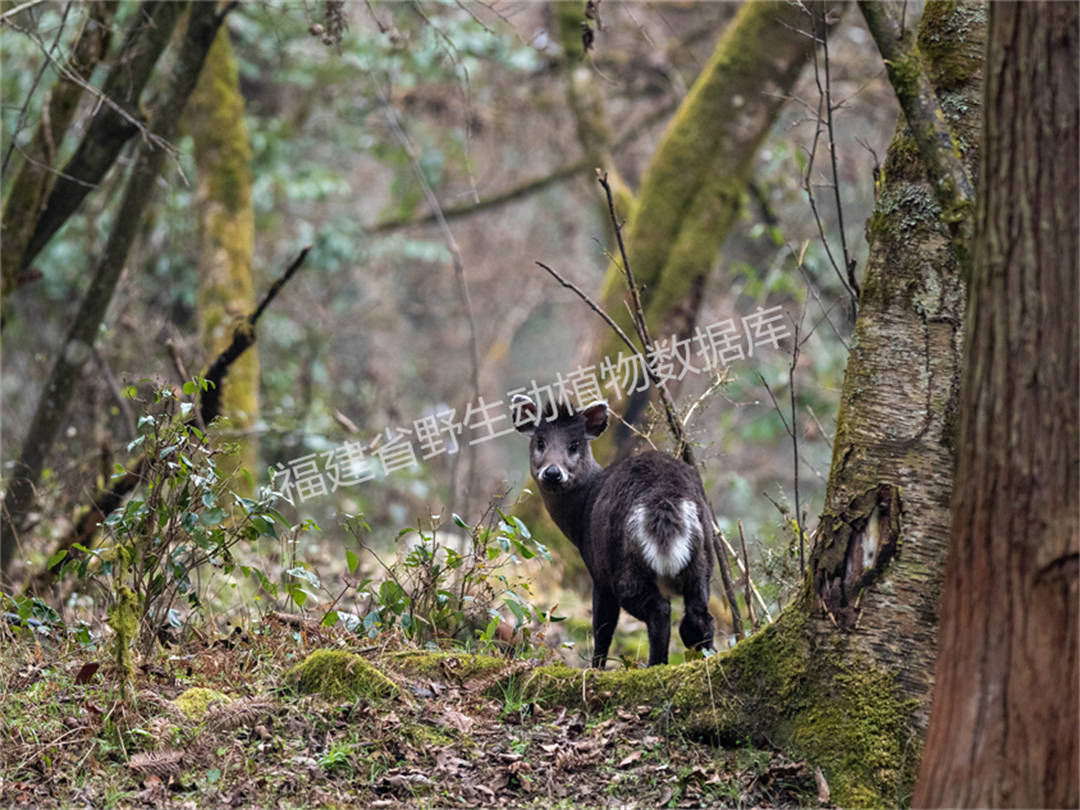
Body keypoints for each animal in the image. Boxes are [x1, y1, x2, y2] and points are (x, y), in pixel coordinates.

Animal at [509, 397, 712, 669]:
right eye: (540, 441)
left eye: (574, 444)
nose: (552, 472)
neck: (583, 511)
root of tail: (667, 500)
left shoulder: (598, 573)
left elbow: (602, 629)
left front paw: (595, 668)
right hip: (703, 562)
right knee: (698, 617)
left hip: (624, 568)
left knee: (660, 610)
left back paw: (655, 666)